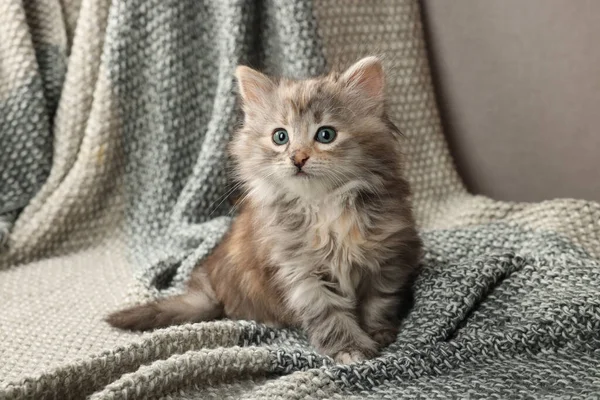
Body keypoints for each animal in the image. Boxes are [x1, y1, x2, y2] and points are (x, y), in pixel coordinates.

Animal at [106, 57, 422, 366]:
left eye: (326, 135)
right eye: (280, 137)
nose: (298, 158)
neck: (323, 205)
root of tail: (213, 291)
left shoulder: (386, 258)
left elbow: (378, 302)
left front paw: (378, 333)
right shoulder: (300, 272)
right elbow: (329, 316)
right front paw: (351, 349)